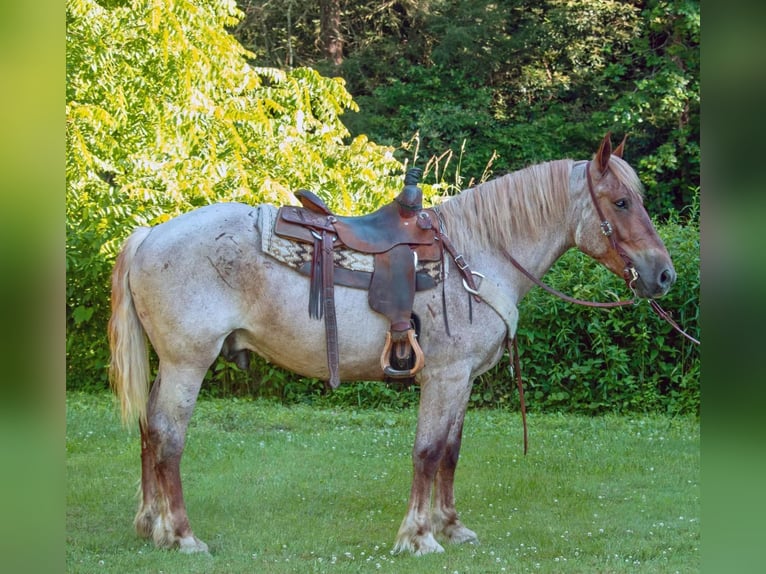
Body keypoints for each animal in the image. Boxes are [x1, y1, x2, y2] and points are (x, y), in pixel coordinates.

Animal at [108, 133, 680, 556]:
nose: (664, 275)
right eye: (621, 202)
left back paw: (150, 525)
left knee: (147, 431)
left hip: (170, 365)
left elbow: (450, 451)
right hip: (187, 363)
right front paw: (419, 536)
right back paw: (181, 535)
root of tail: (149, 235)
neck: (478, 254)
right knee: (168, 437)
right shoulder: (445, 376)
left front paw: (452, 526)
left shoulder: (461, 379)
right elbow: (427, 451)